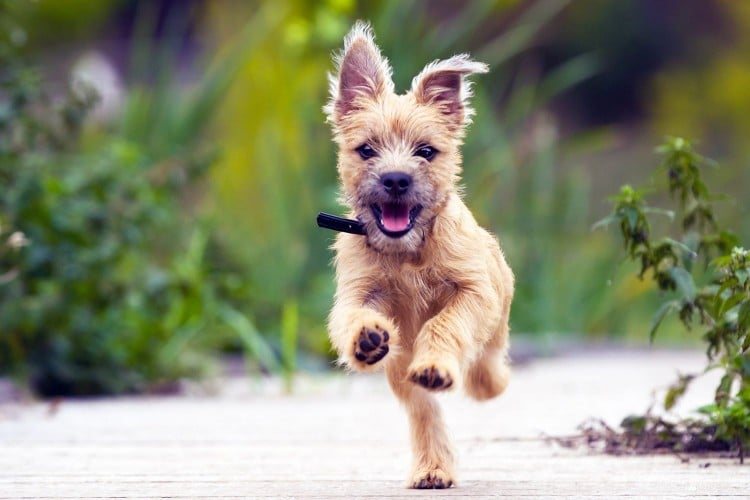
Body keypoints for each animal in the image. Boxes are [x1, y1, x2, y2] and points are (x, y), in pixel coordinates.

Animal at [324, 21, 516, 490]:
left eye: (426, 151)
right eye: (366, 150)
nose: (396, 179)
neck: (407, 252)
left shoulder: (473, 292)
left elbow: (444, 324)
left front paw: (440, 360)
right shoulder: (357, 293)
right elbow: (351, 316)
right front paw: (366, 337)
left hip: (496, 319)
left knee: (486, 365)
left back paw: (481, 380)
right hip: (400, 372)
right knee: (424, 411)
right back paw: (432, 467)